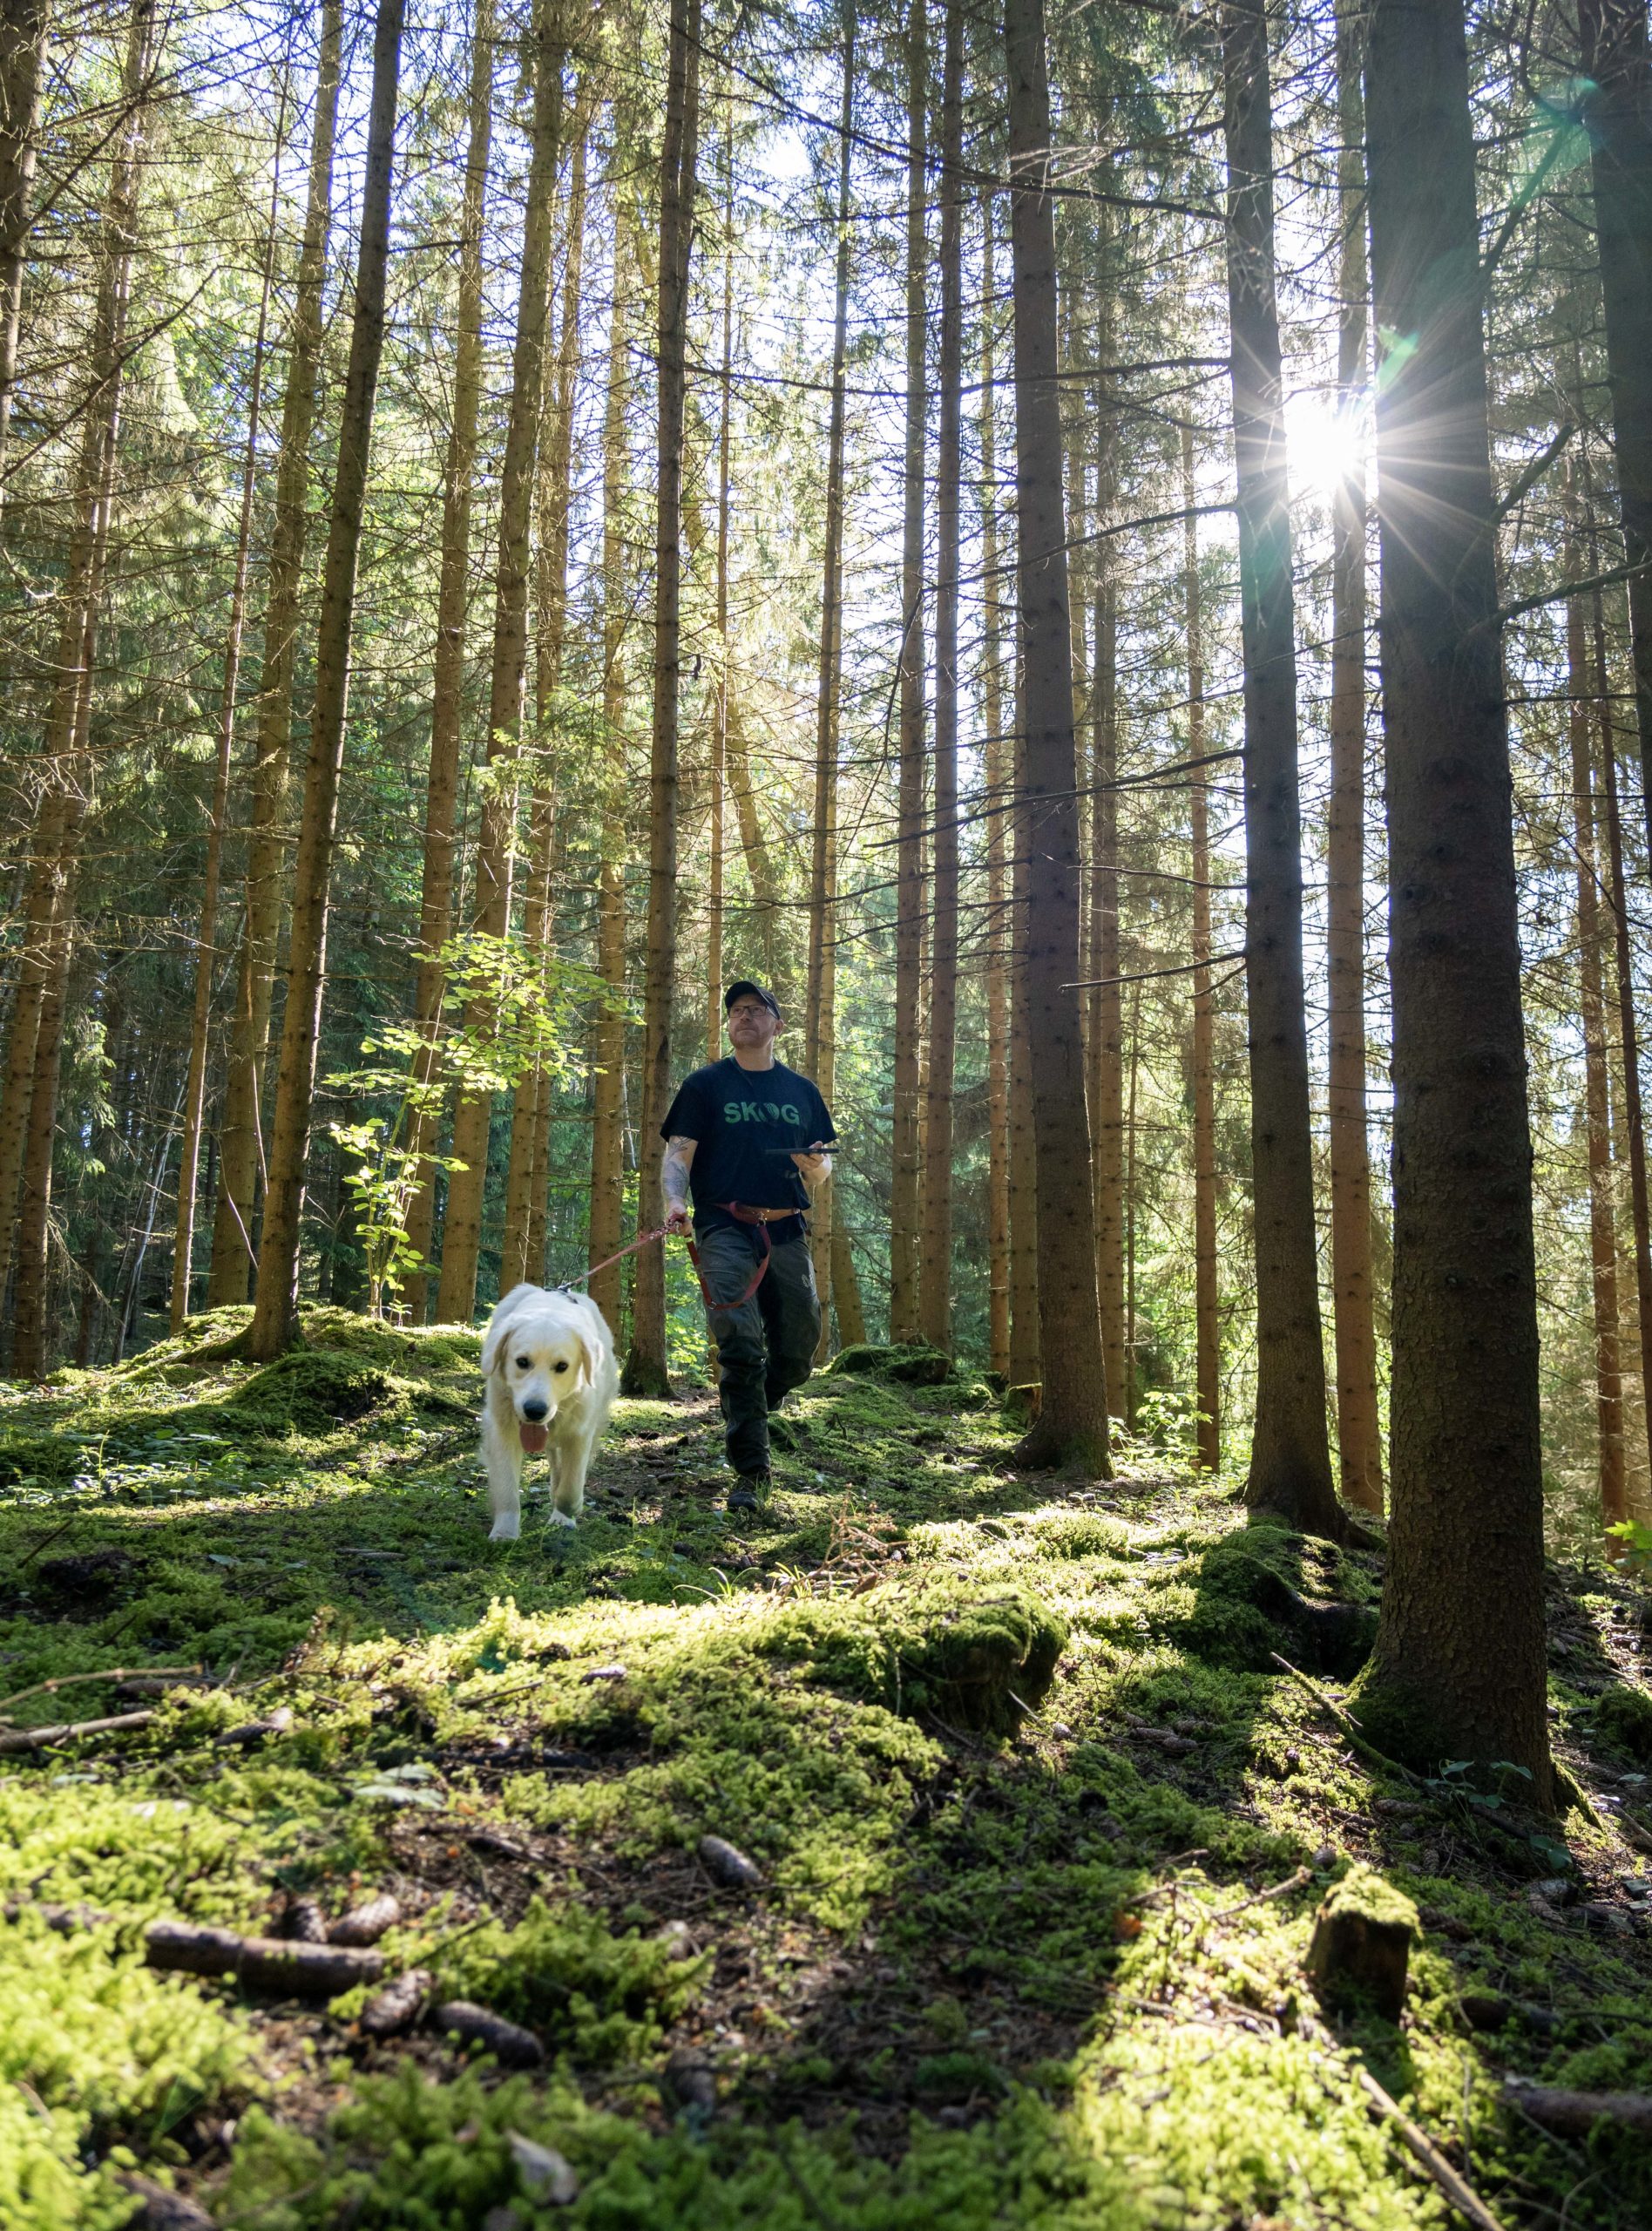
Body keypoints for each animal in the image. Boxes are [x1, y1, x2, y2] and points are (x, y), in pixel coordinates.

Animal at [477, 1293, 620, 1535]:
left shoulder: (579, 1432)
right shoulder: (502, 1429)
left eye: (562, 1366)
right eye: (522, 1362)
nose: (535, 1411)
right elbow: (506, 1487)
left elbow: (571, 1488)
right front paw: (505, 1531)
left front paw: (567, 1513)